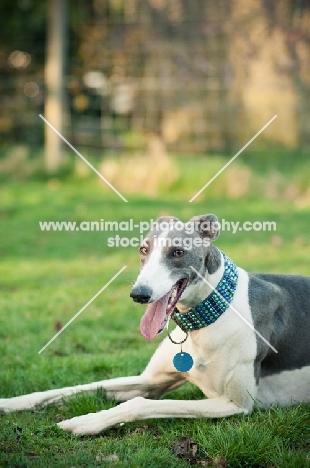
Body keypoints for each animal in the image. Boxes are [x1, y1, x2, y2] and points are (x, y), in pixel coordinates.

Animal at [0, 216, 308, 436]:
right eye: (143, 249)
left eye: (178, 252)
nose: (139, 294)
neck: (210, 315)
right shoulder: (151, 381)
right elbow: (69, 389)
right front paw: (9, 403)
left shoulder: (236, 404)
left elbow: (139, 403)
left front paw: (83, 422)